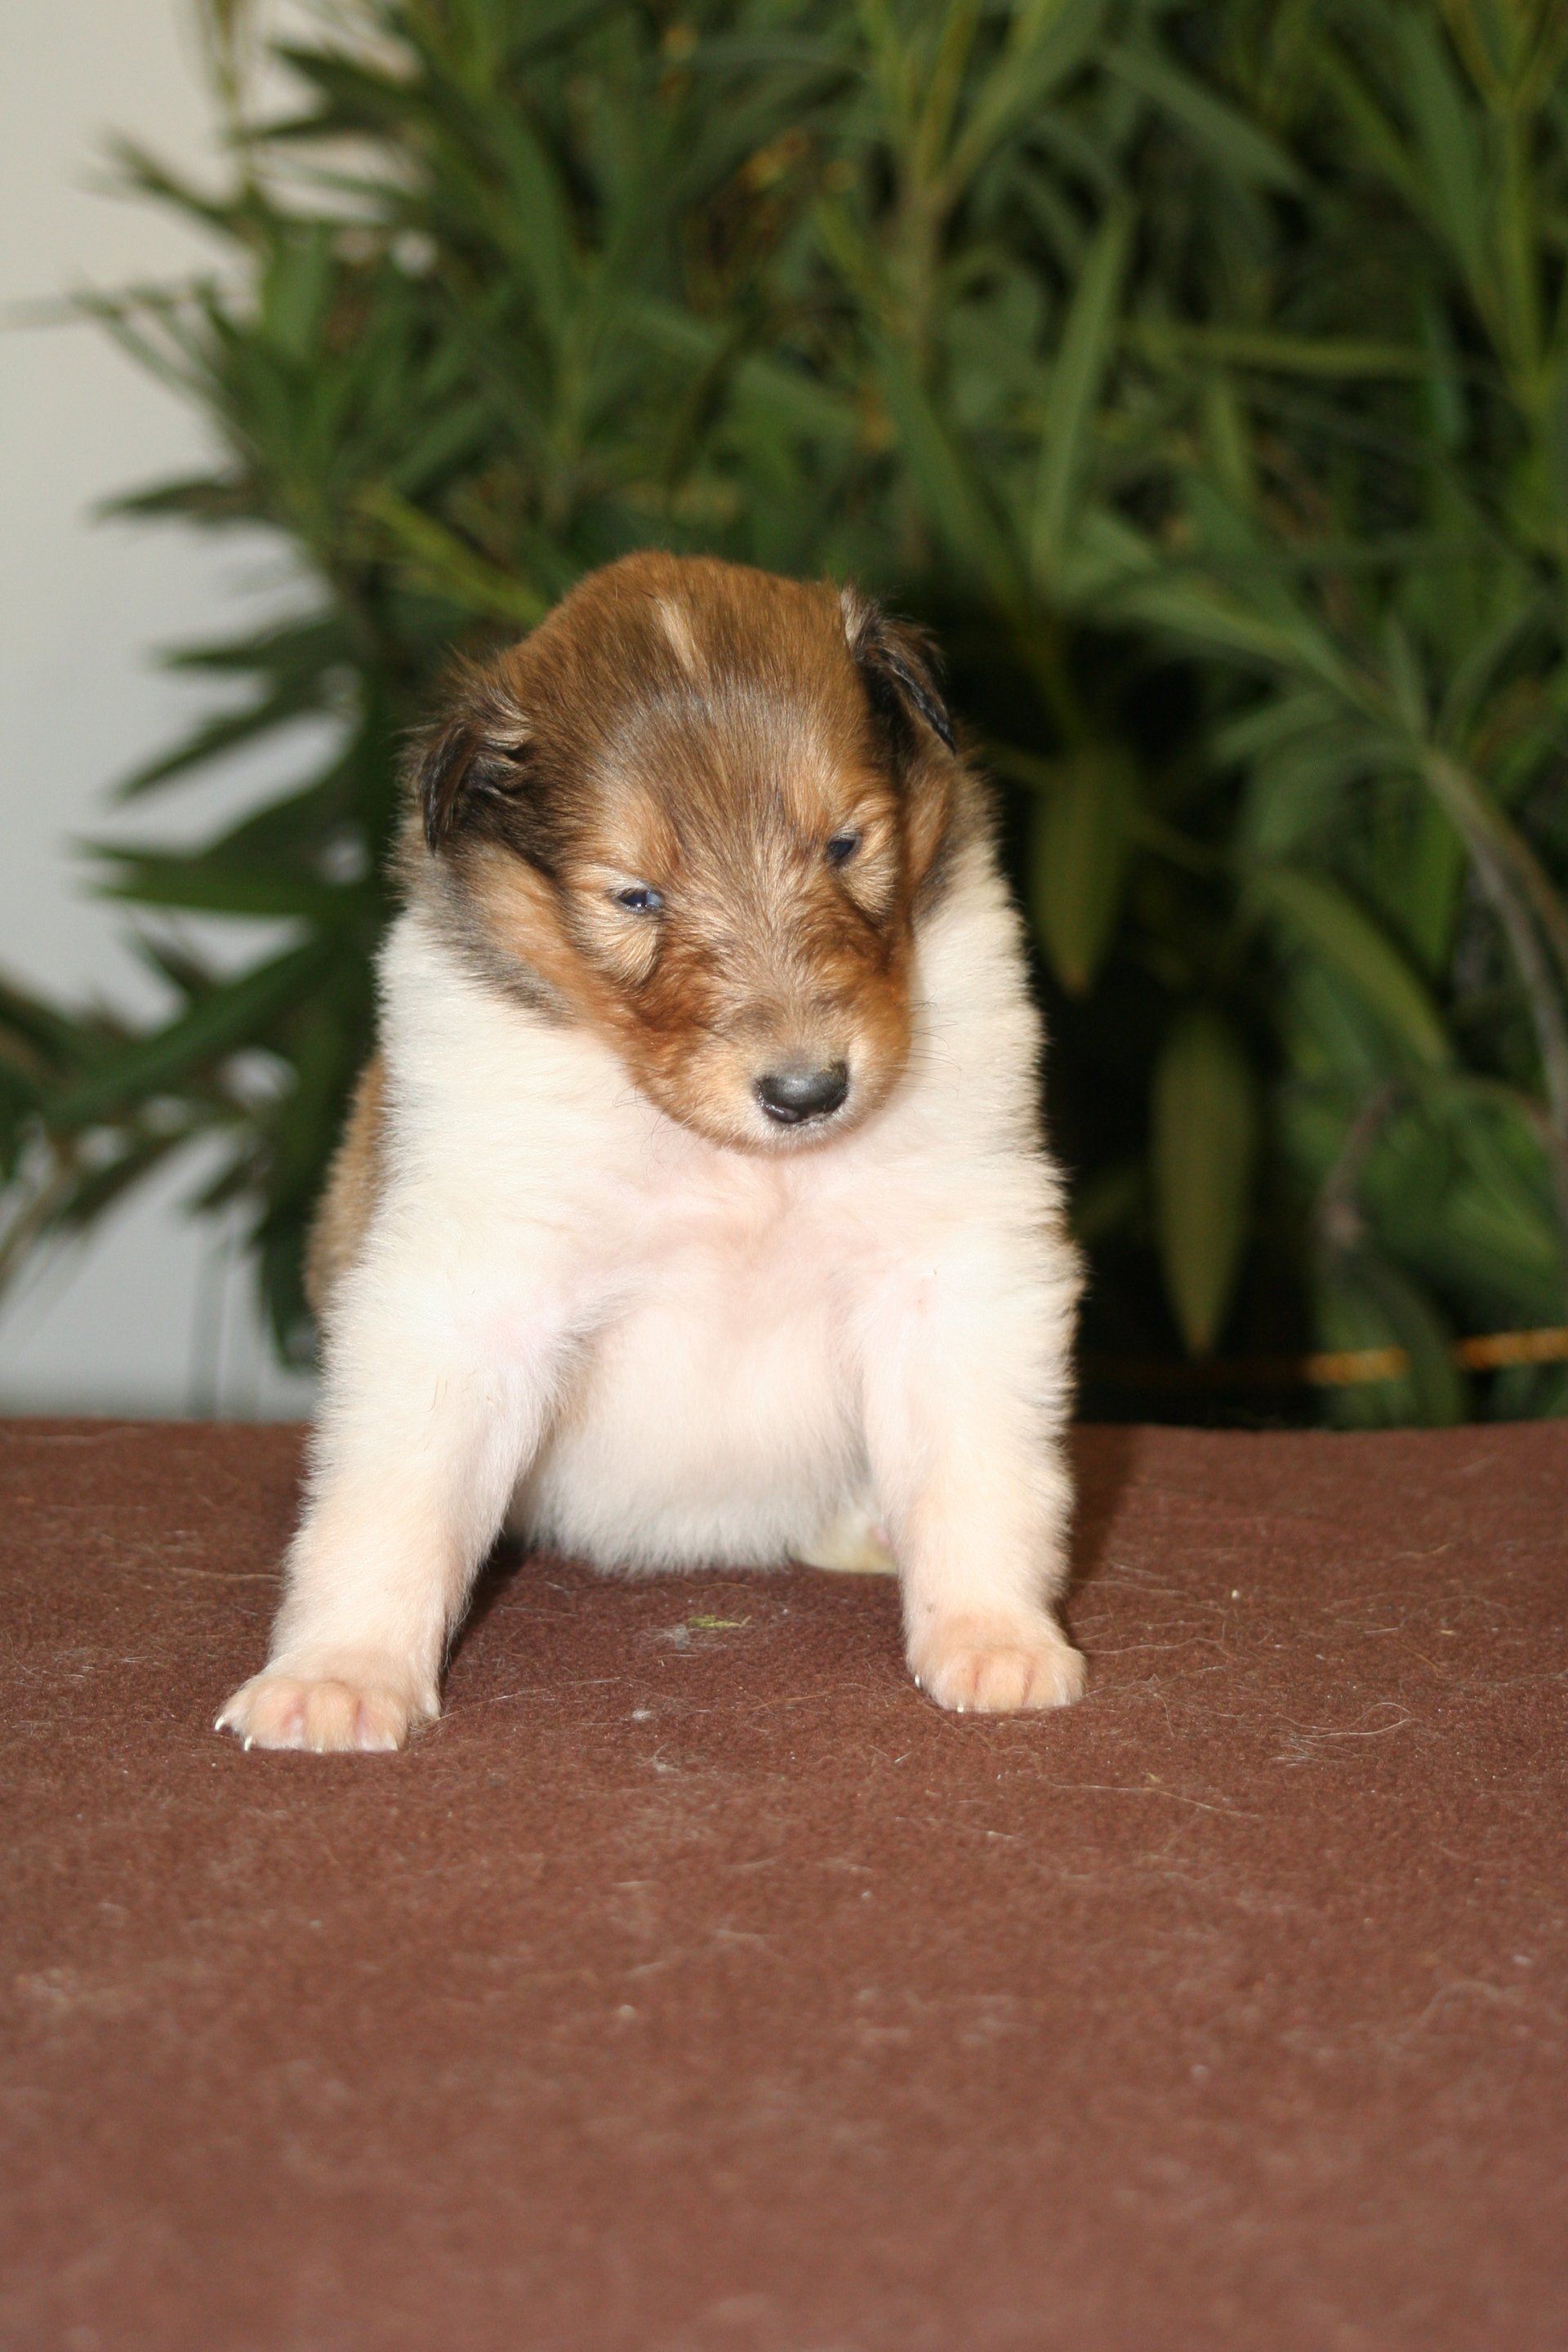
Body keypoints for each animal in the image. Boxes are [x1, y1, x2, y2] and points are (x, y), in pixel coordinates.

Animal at [217, 553, 1085, 1751]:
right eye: (634, 895)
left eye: (846, 843)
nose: (809, 1093)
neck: (731, 1163)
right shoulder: (473, 1278)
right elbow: (397, 1496)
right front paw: (339, 1675)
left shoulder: (951, 1263)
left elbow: (976, 1463)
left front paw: (996, 1640)